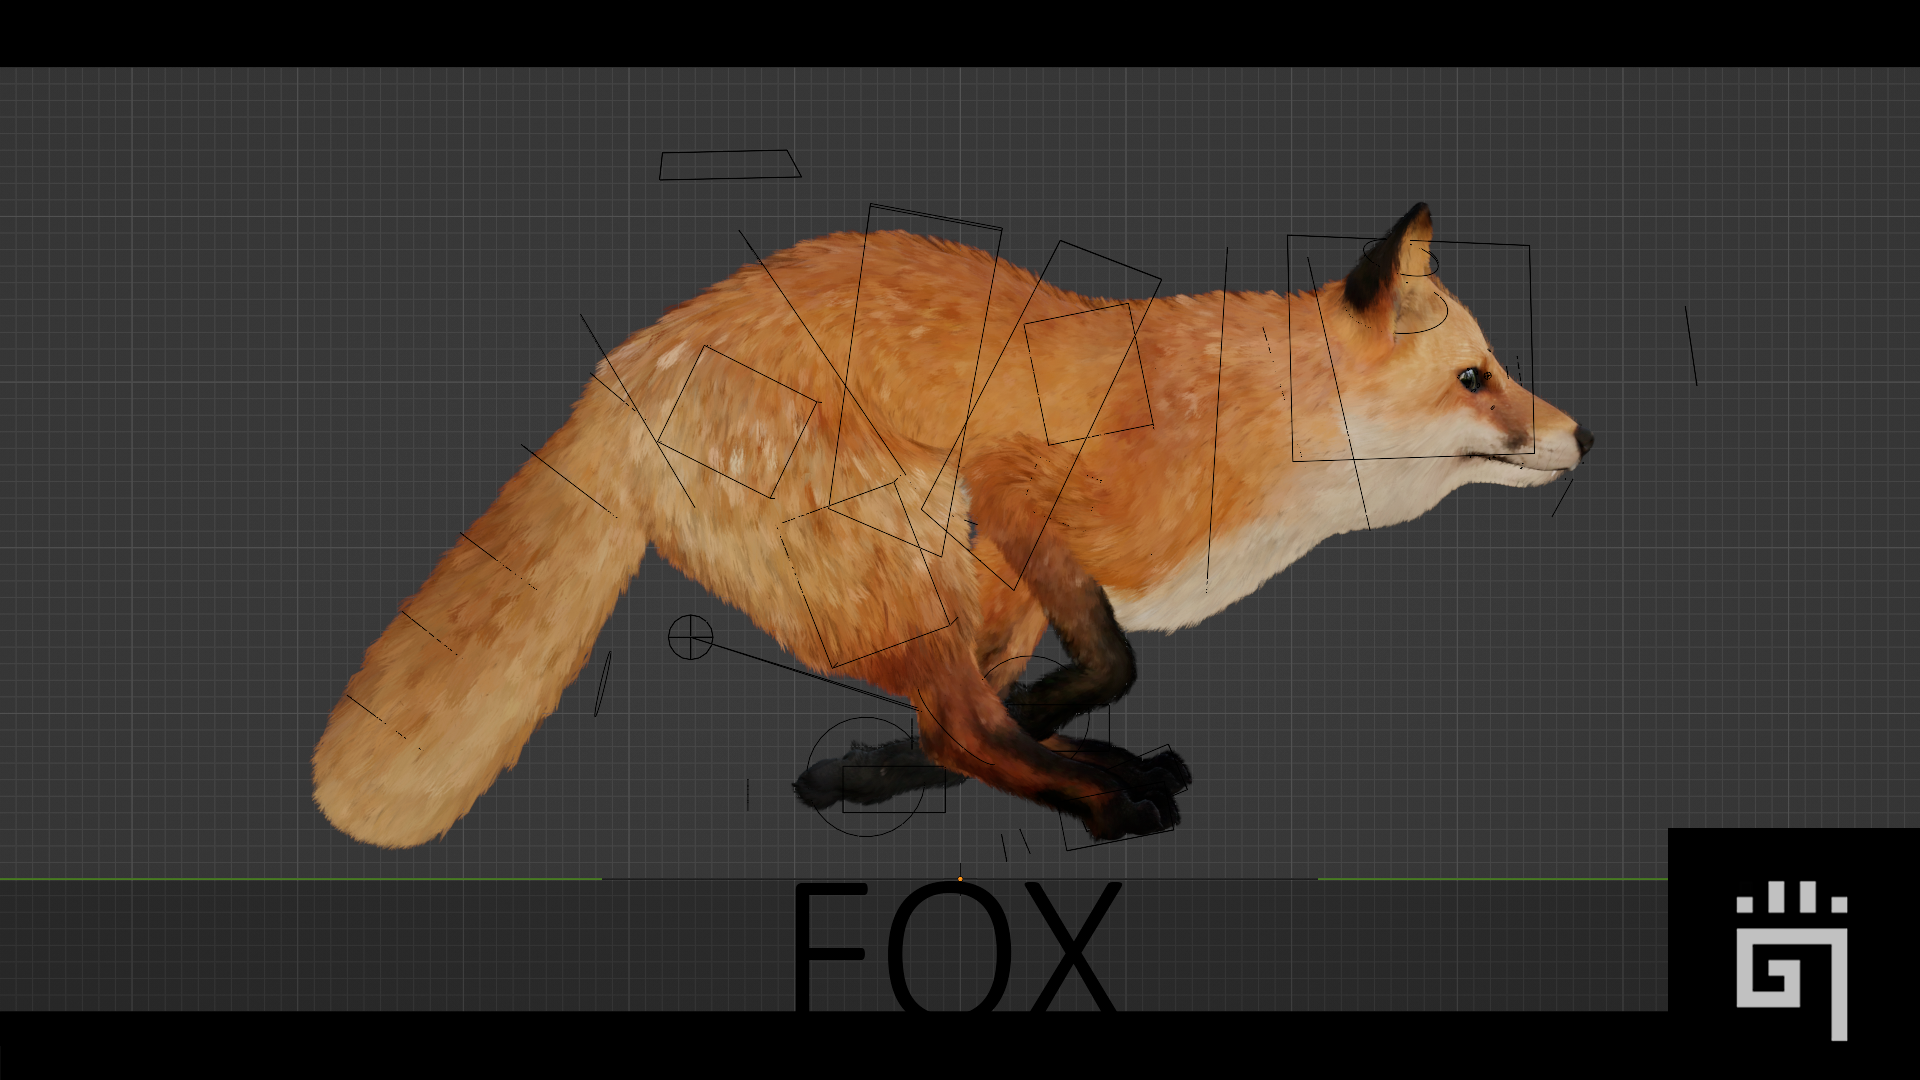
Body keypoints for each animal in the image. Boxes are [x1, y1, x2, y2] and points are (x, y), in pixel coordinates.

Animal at [312, 203, 1592, 849]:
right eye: (1477, 379)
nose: (1583, 435)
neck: (1230, 424)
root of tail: (628, 363)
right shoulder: (1014, 491)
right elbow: (1104, 663)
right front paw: (1072, 759)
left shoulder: (1022, 576)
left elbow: (1046, 688)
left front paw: (893, 762)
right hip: (900, 541)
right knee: (960, 725)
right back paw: (1101, 799)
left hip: (943, 574)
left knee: (957, 718)